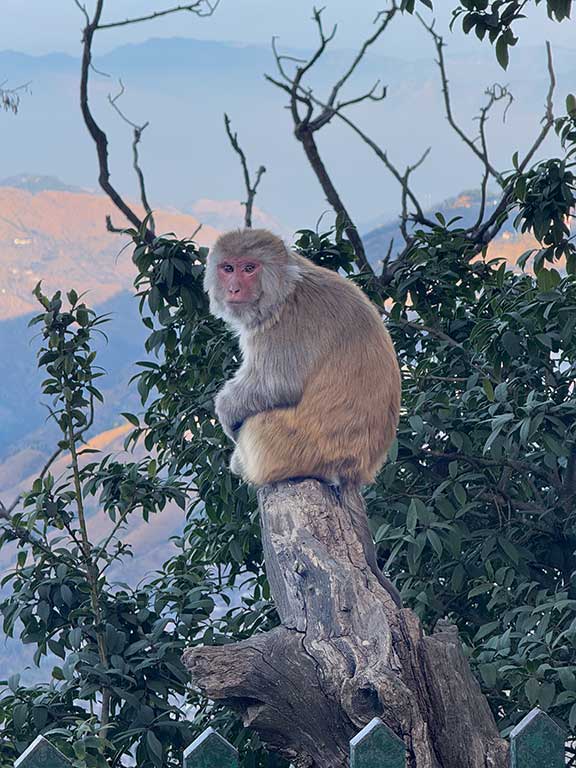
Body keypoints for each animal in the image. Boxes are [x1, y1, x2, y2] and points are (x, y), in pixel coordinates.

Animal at [204, 229, 402, 608]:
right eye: (228, 267)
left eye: (249, 268)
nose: (234, 288)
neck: (286, 286)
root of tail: (355, 470)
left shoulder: (285, 323)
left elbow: (276, 385)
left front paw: (224, 410)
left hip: (294, 448)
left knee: (257, 425)